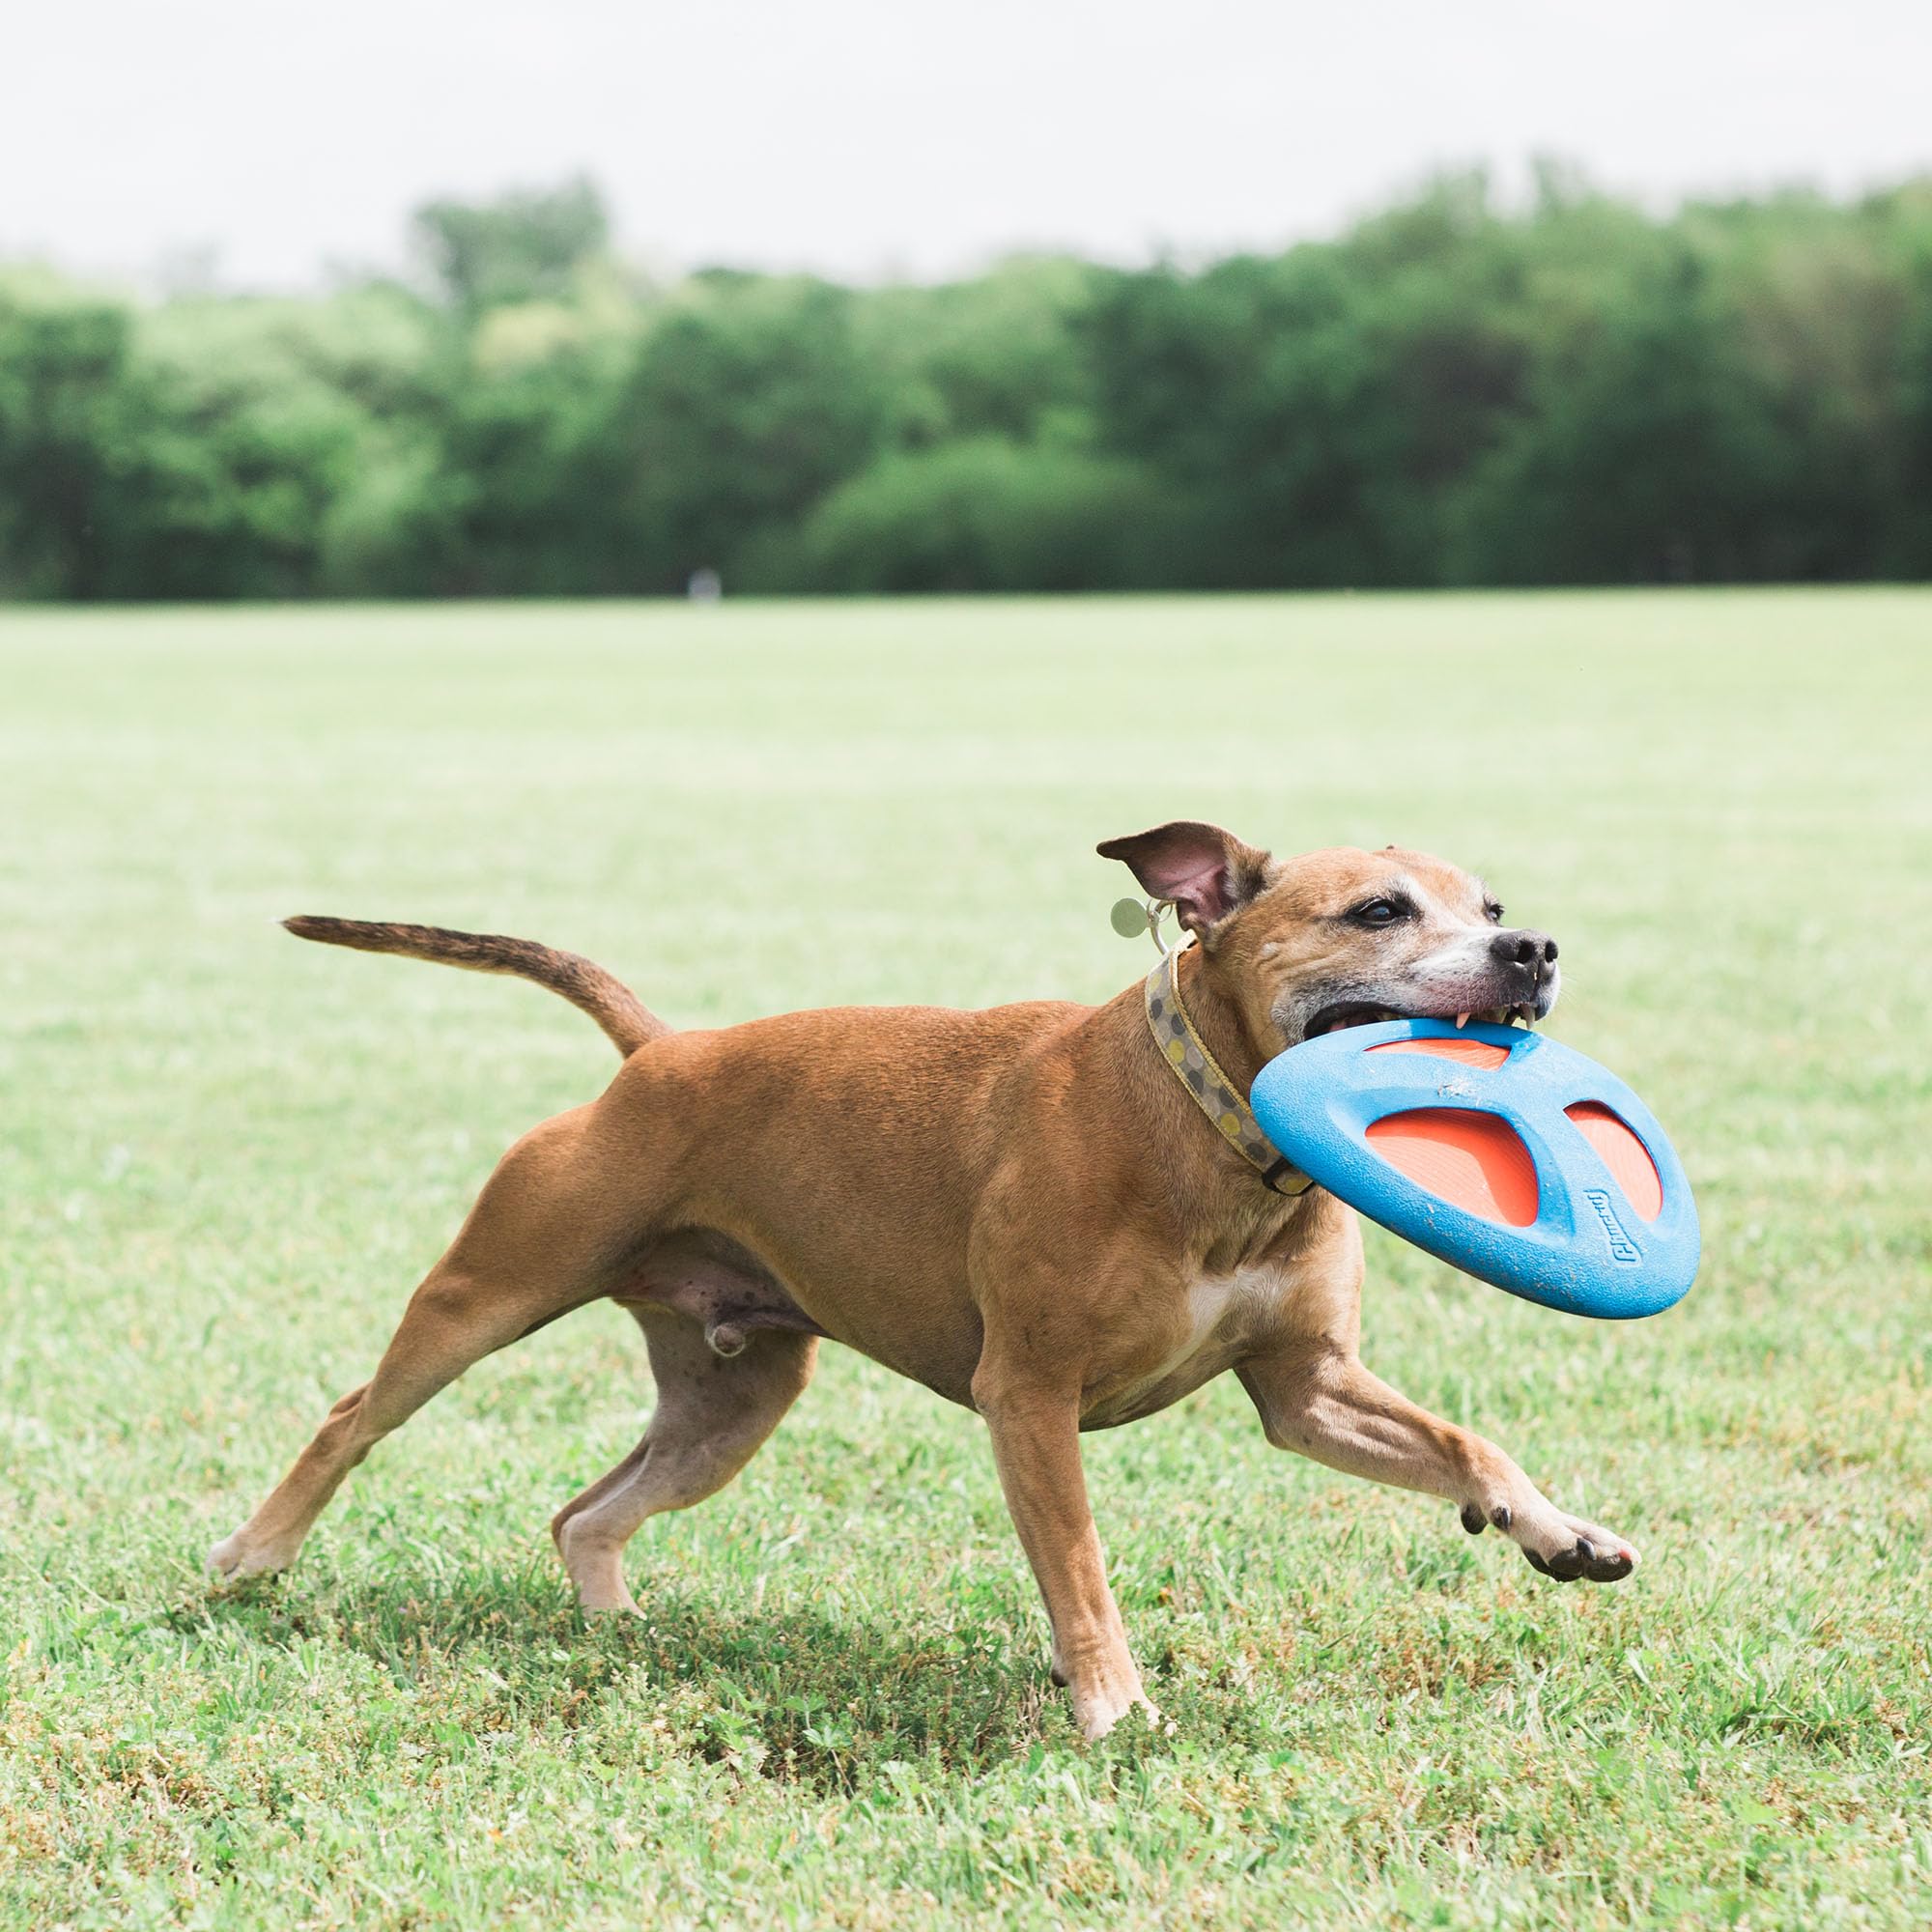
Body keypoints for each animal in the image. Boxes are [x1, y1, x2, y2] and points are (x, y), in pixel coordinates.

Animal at [215, 823, 1631, 1747]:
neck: (1212, 1134)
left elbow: (1466, 1442)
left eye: (1487, 904)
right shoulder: (1031, 1397)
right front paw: (1114, 1705)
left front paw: (1556, 1529)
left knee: (585, 1512)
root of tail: (661, 1053)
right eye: (1379, 911)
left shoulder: (1309, 1389)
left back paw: (616, 1628)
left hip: (731, 1399)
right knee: (351, 1419)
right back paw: (251, 1558)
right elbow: (1079, 1567)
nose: (1533, 947)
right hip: (487, 1293)